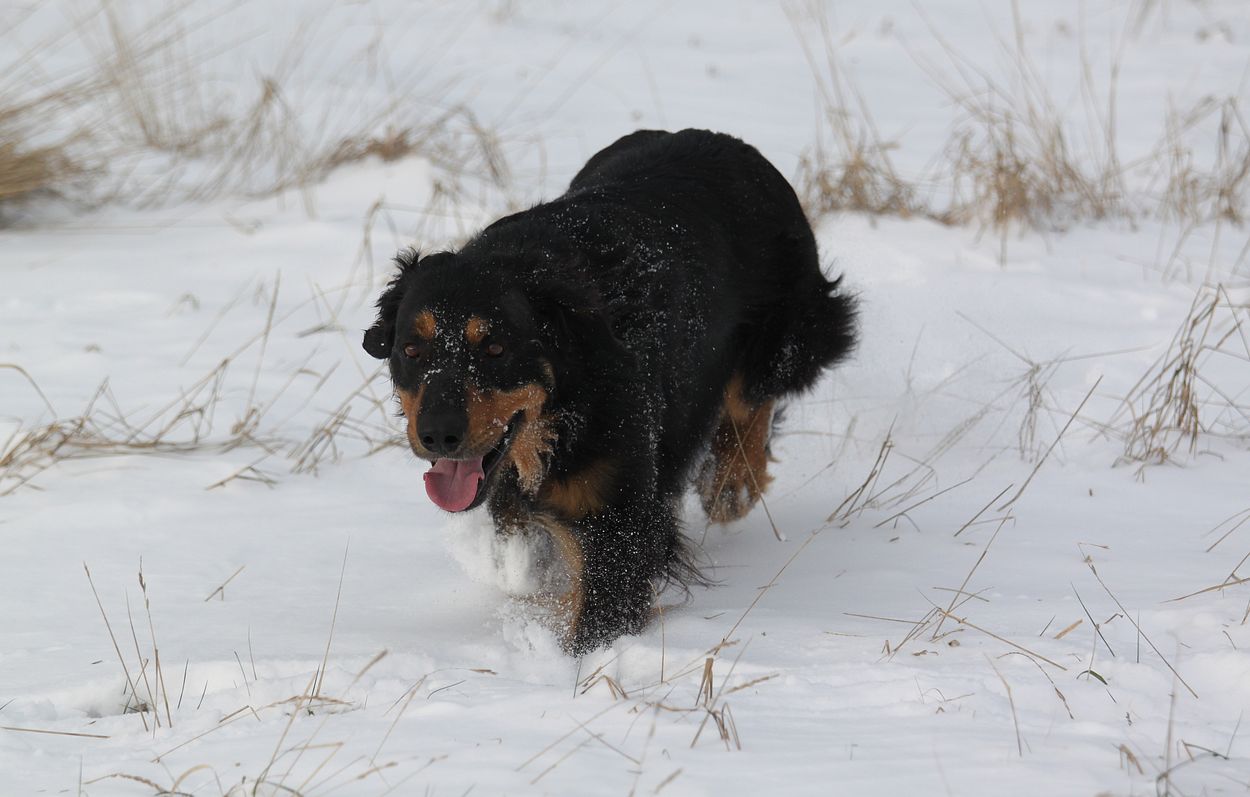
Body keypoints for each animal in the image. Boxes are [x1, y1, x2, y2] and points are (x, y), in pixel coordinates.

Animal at [363, 129, 857, 654]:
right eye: (411, 350)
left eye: (496, 348)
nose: (437, 435)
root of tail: (728, 141)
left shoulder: (615, 519)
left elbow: (598, 615)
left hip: (788, 329)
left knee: (752, 397)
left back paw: (731, 482)